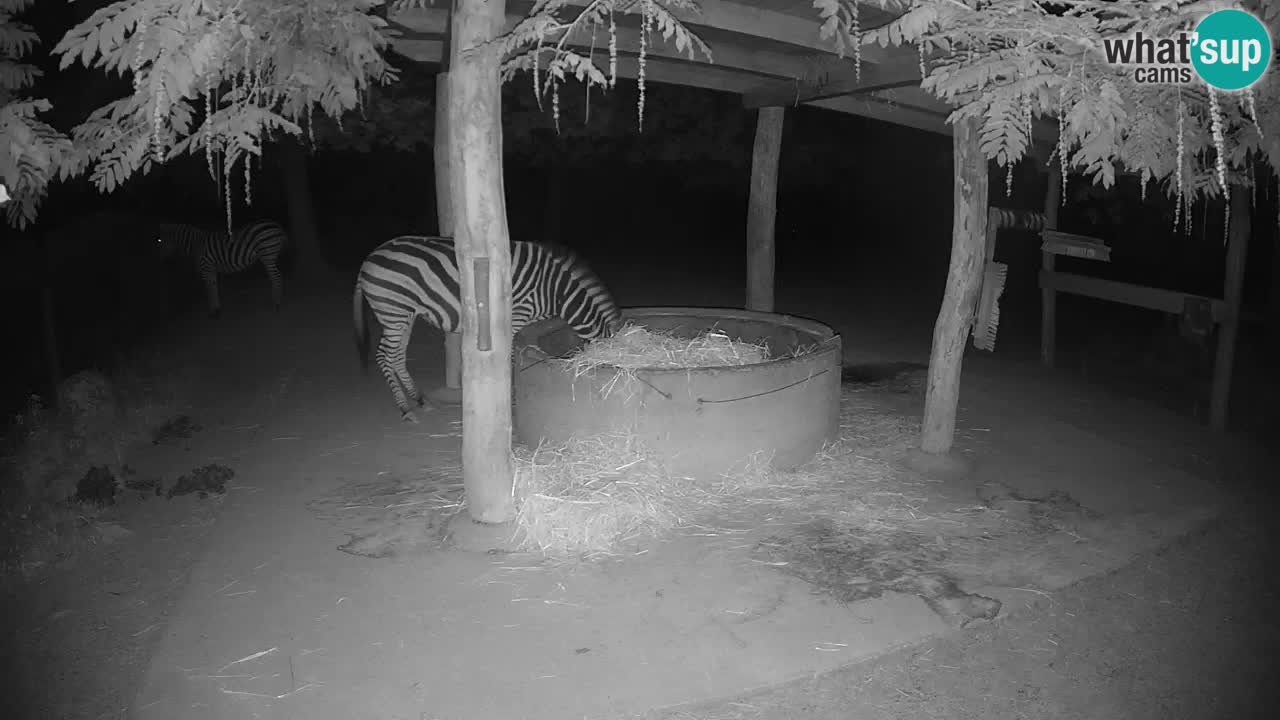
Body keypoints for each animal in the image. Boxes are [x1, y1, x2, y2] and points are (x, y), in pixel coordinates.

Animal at [155, 220, 289, 317]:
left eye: (159, 240)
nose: (159, 261)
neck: (195, 245)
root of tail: (277, 226)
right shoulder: (211, 269)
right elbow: (214, 287)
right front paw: (217, 308)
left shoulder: (206, 268)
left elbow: (210, 289)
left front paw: (213, 311)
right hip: (269, 254)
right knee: (277, 276)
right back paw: (277, 300)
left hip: (268, 253)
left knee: (276, 277)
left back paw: (276, 303)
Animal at [353, 235, 623, 423]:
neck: (556, 292)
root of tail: (368, 259)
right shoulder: (516, 316)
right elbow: (511, 356)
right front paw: (511, 396)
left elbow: (524, 348)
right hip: (393, 310)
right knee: (384, 356)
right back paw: (405, 409)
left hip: (404, 314)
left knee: (397, 356)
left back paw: (419, 400)